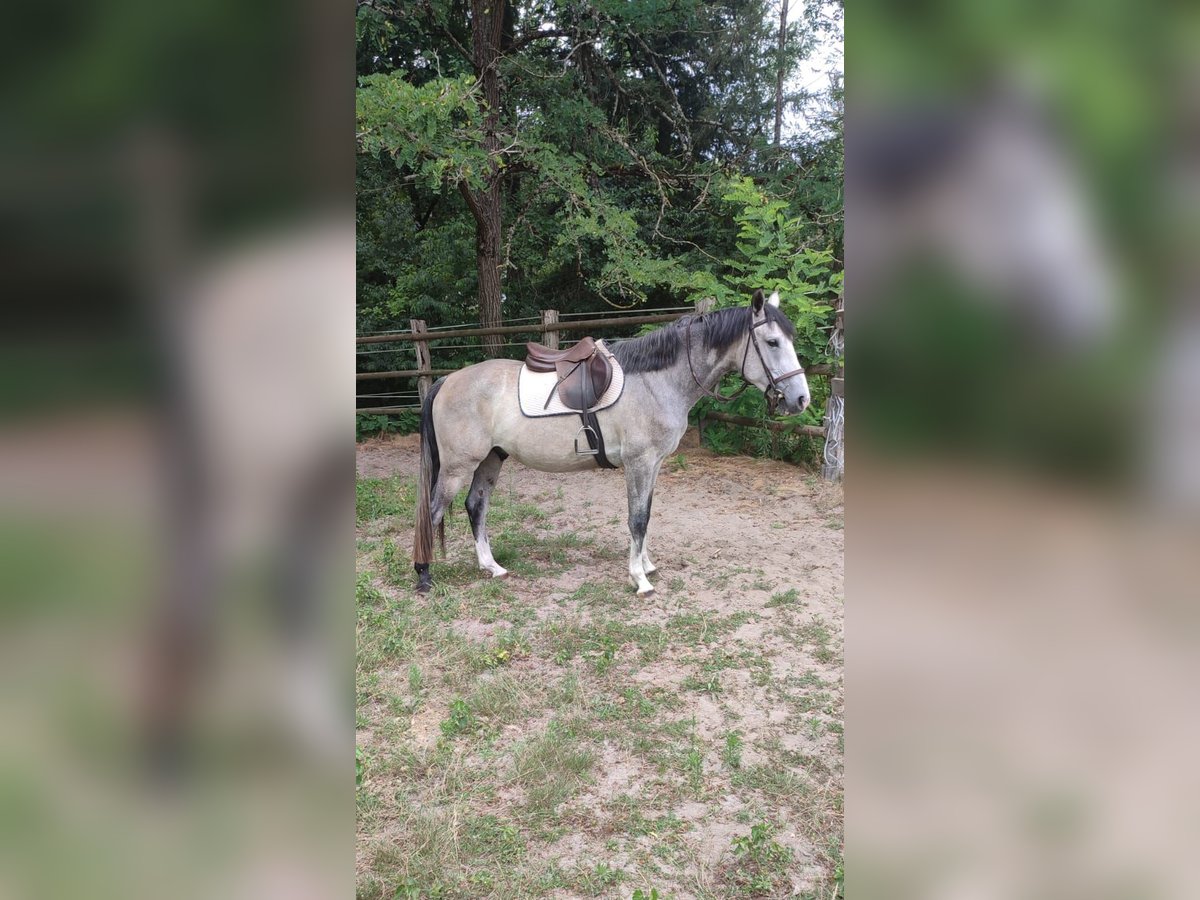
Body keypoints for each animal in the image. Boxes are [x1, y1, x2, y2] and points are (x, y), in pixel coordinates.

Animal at [415, 292, 816, 595]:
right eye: (772, 342)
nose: (800, 400)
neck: (655, 381)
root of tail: (447, 381)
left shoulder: (653, 465)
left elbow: (647, 515)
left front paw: (646, 565)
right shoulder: (639, 463)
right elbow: (636, 518)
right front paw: (639, 580)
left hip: (491, 459)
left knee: (475, 506)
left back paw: (491, 567)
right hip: (457, 467)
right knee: (433, 510)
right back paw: (423, 576)